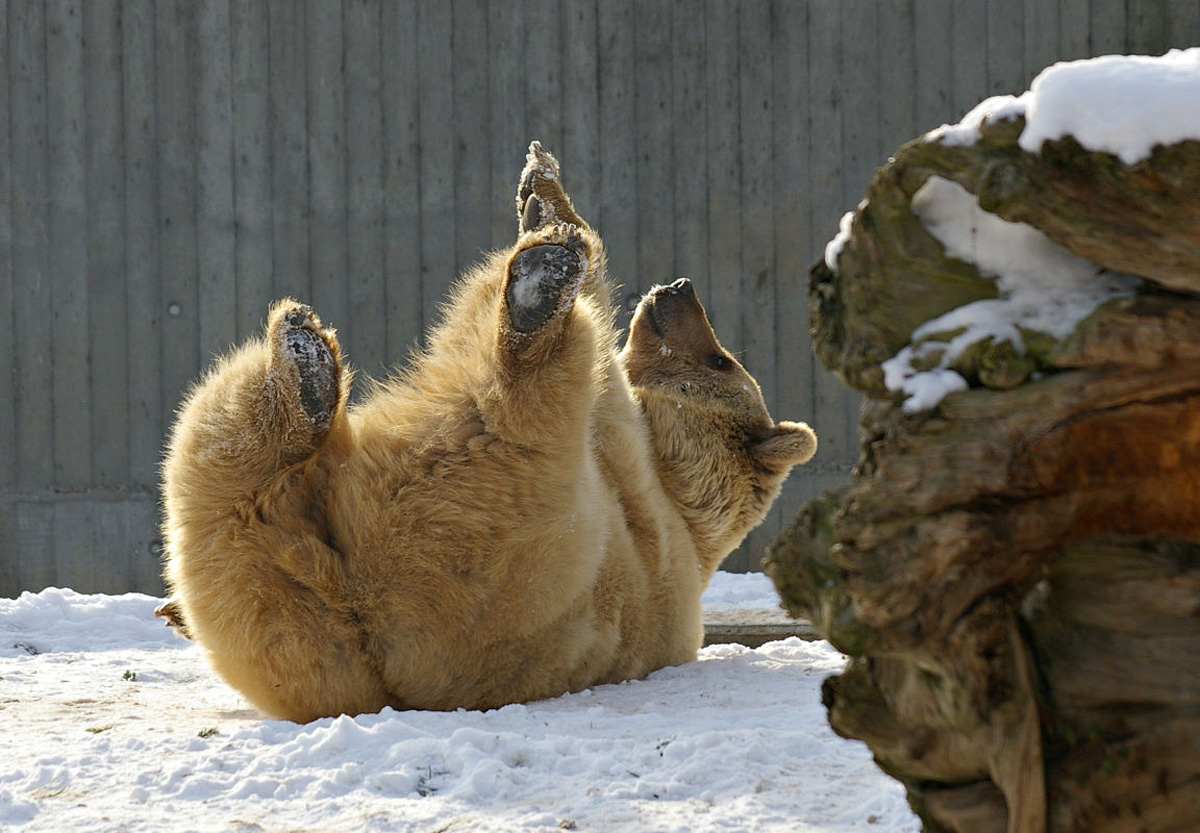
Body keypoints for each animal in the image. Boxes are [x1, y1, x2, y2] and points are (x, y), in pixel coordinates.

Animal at [159, 143, 816, 724]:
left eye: (721, 361)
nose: (679, 289)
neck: (683, 503)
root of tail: (372, 634)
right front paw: (538, 187)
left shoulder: (629, 473)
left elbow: (599, 359)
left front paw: (546, 207)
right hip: (278, 628)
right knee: (218, 456)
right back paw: (306, 363)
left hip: (500, 538)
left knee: (518, 398)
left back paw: (535, 287)